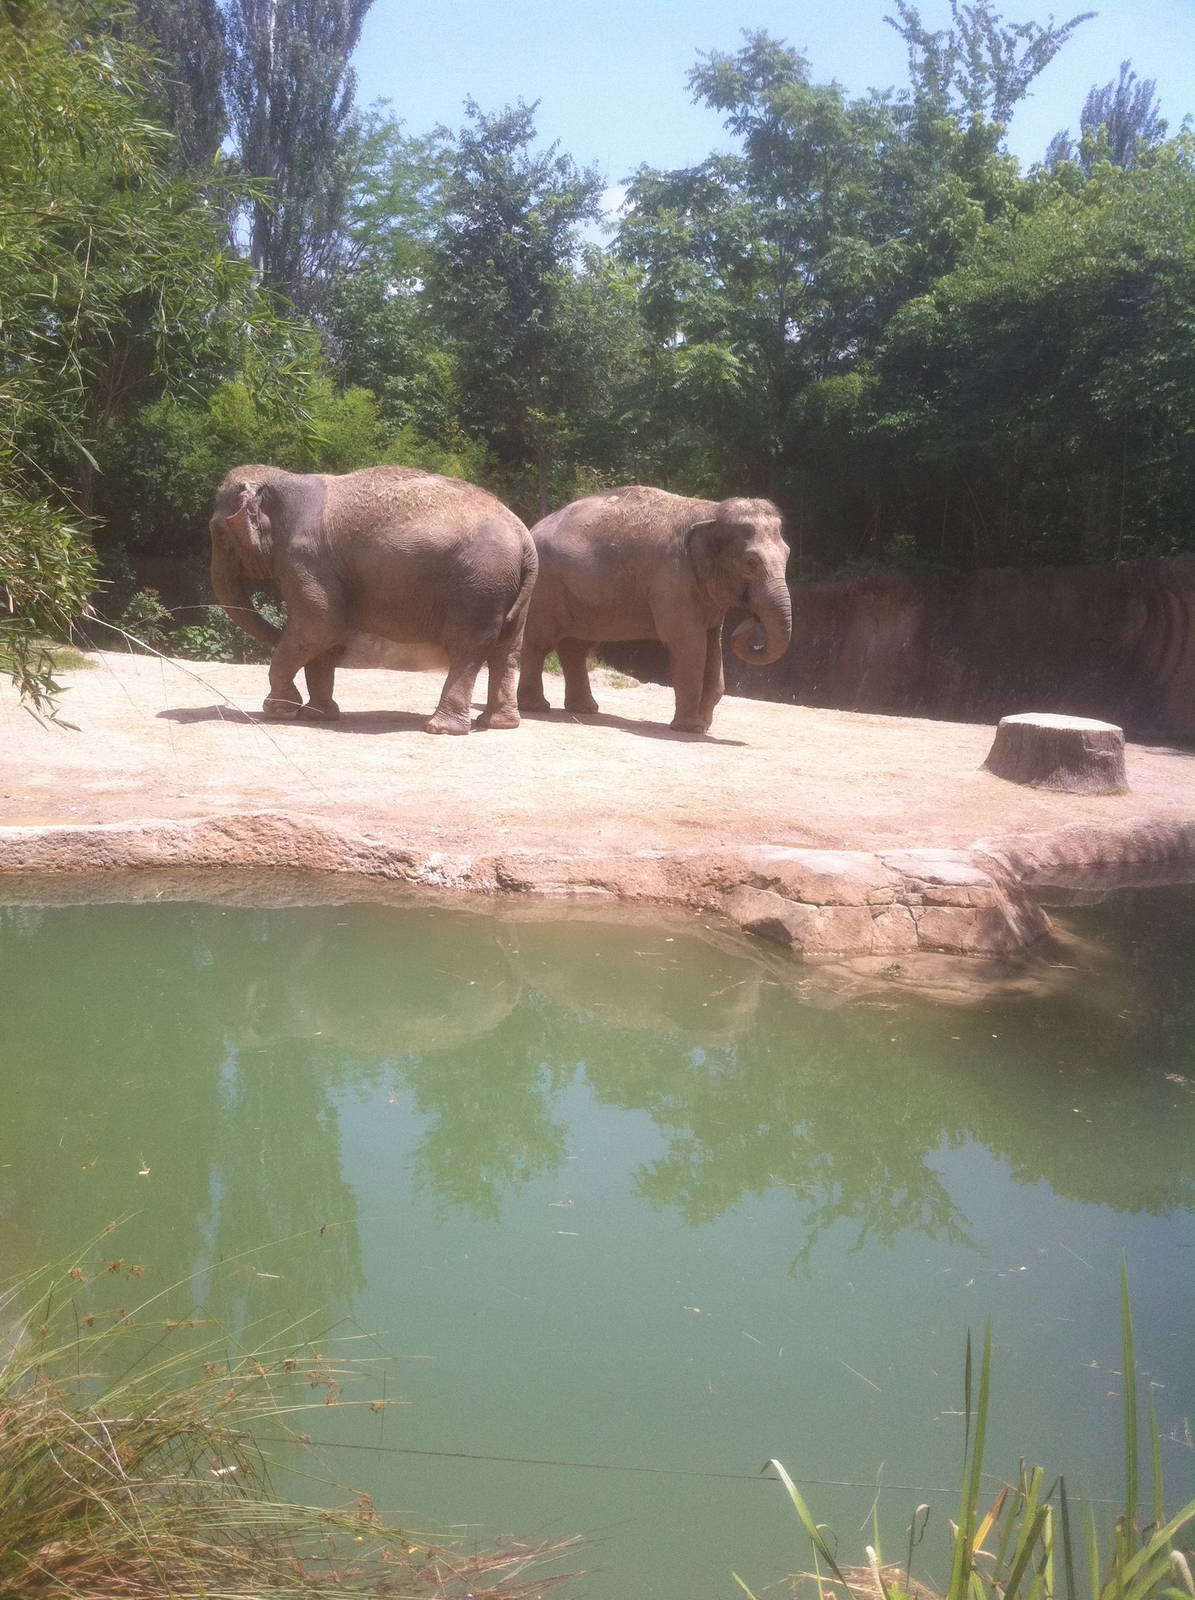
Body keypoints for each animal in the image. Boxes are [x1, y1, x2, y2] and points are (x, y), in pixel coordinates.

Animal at [208, 464, 537, 735]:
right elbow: (325, 636)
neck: (283, 478)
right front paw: (317, 715)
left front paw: (279, 709)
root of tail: (524, 539)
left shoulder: (305, 558)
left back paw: (440, 728)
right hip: (505, 589)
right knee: (507, 649)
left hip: (479, 586)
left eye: (219, 532)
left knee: (467, 648)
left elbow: (319, 626)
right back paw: (498, 724)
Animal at [516, 486, 792, 733]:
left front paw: (704, 727)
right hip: (544, 587)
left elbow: (713, 647)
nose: (753, 621)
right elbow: (689, 646)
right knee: (539, 643)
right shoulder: (673, 579)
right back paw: (536, 707)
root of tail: (533, 527)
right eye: (750, 563)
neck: (712, 511)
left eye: (788, 554)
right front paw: (689, 729)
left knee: (575, 648)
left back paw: (585, 709)